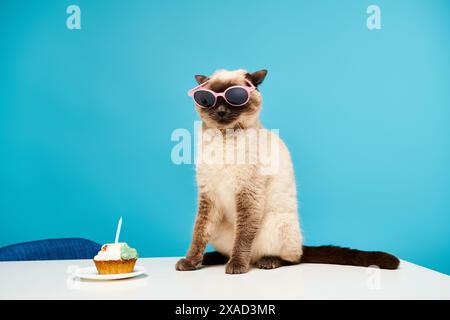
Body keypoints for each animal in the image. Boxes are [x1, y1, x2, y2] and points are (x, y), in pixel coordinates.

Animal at [174, 69, 400, 274]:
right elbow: (199, 233)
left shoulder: (248, 193)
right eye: (208, 100)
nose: (221, 111)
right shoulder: (208, 195)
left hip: (276, 223)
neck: (224, 139)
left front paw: (237, 266)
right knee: (229, 249)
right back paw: (210, 258)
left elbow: (244, 237)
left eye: (235, 98)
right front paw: (190, 262)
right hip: (222, 229)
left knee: (292, 258)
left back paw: (267, 261)